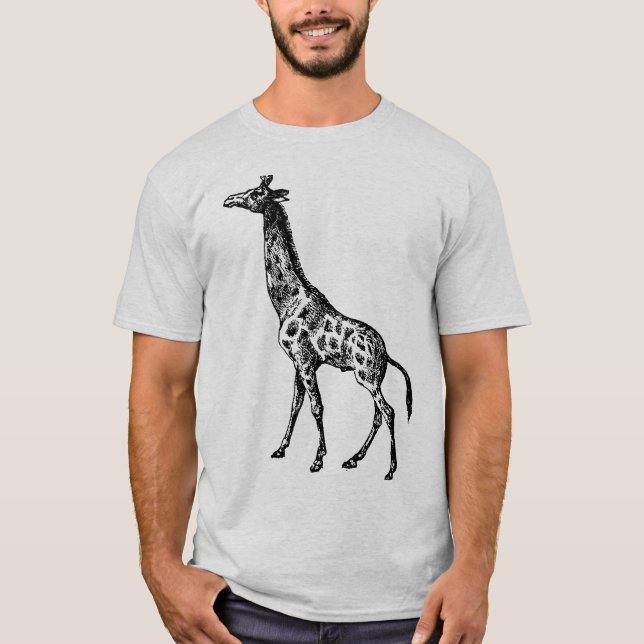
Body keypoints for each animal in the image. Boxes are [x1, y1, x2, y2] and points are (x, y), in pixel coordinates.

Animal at [223, 175, 412, 480]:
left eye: (254, 194)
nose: (228, 199)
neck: (287, 302)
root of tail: (385, 352)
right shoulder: (298, 363)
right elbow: (295, 404)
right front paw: (280, 449)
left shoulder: (305, 361)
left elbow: (316, 406)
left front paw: (318, 459)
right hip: (372, 378)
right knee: (377, 414)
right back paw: (353, 458)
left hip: (367, 377)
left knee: (389, 411)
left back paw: (390, 469)